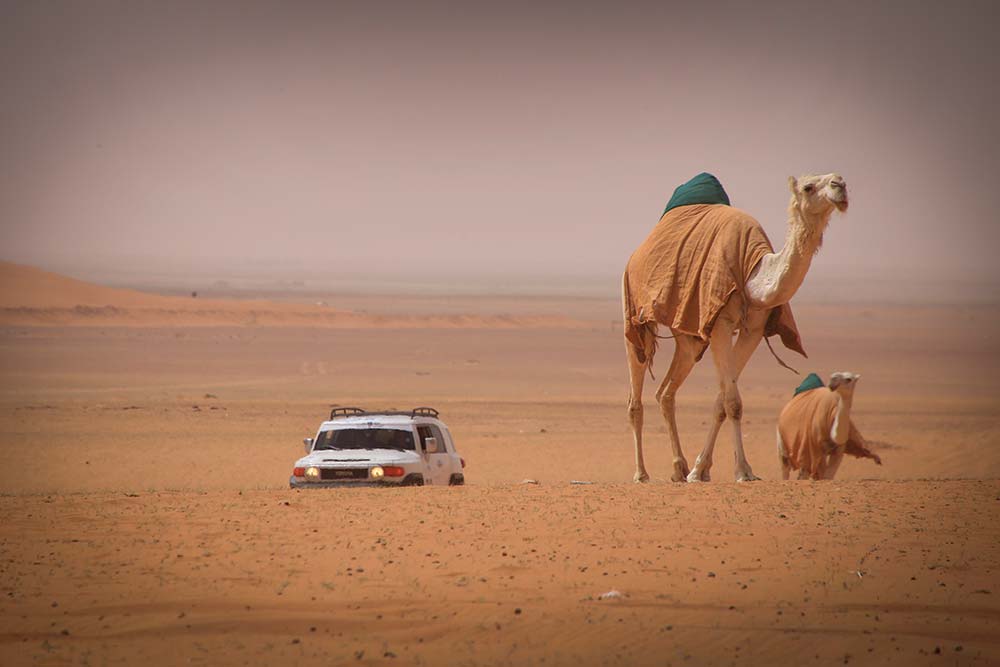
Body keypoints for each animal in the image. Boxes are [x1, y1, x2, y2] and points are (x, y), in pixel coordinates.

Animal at [620, 172, 848, 482]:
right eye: (808, 187)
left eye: (837, 179)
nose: (840, 186)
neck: (753, 276)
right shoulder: (721, 324)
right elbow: (733, 402)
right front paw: (741, 471)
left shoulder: (754, 328)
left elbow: (722, 401)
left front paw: (700, 470)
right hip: (636, 316)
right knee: (636, 399)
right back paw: (641, 474)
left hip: (689, 335)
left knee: (666, 392)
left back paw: (679, 468)